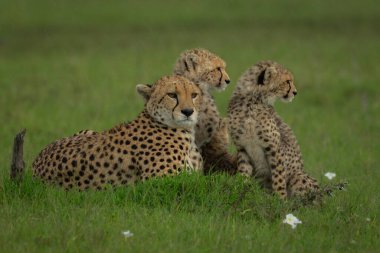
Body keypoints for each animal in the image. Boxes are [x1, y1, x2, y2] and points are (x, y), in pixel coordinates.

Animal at [227, 60, 320, 198]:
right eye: (287, 81)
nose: (295, 92)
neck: (252, 101)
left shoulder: (274, 149)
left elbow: (279, 178)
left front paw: (280, 200)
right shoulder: (242, 148)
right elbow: (244, 171)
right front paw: (240, 190)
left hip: (298, 176)